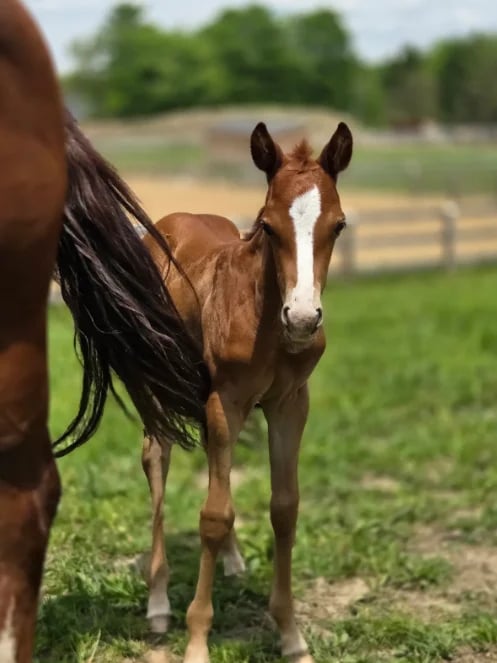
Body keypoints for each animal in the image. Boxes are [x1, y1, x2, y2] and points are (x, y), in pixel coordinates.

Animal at [141, 121, 353, 663]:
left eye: (339, 225)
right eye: (268, 225)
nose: (302, 318)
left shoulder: (289, 403)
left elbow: (285, 508)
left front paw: (291, 635)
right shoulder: (228, 401)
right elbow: (213, 514)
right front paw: (197, 640)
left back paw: (233, 562)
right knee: (157, 459)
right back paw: (157, 603)